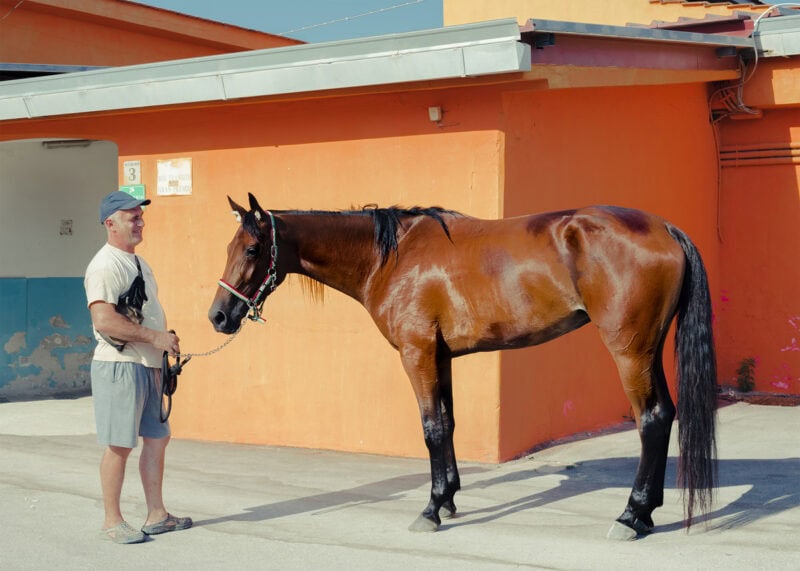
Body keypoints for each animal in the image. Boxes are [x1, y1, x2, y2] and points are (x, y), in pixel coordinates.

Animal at [208, 192, 720, 540]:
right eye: (229, 248)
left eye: (252, 250)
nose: (219, 316)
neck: (391, 258)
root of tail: (665, 229)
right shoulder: (440, 357)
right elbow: (448, 424)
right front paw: (450, 497)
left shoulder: (416, 354)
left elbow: (432, 428)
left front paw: (431, 509)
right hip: (648, 349)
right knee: (665, 415)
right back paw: (646, 512)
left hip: (630, 351)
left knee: (651, 419)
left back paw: (631, 516)